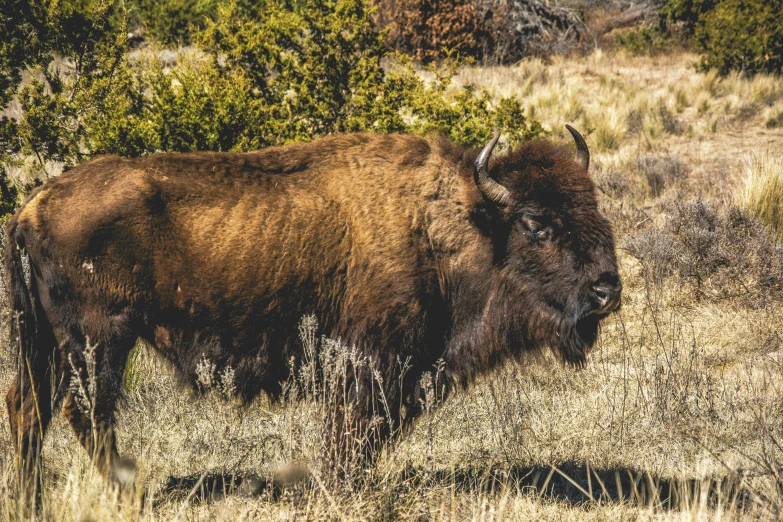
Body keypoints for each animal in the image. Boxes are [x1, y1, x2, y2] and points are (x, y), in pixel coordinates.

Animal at [4, 125, 620, 488]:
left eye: (594, 207)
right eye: (536, 223)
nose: (607, 290)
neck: (451, 224)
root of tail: (32, 205)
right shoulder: (369, 366)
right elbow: (352, 437)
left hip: (49, 343)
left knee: (28, 408)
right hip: (98, 340)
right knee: (86, 412)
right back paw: (127, 491)